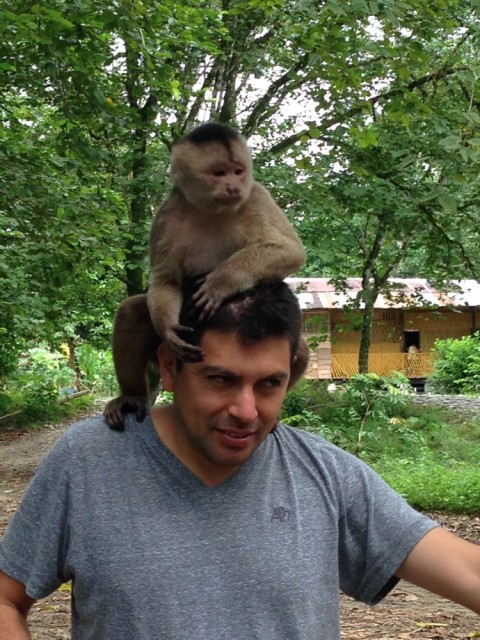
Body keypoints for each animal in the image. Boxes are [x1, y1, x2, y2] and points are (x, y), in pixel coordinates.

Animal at [104, 122, 308, 430]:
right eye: (219, 173)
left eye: (238, 171)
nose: (234, 186)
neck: (212, 209)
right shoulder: (168, 214)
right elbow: (164, 279)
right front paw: (168, 329)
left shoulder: (256, 196)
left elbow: (291, 251)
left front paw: (222, 281)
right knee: (132, 310)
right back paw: (132, 397)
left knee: (302, 350)